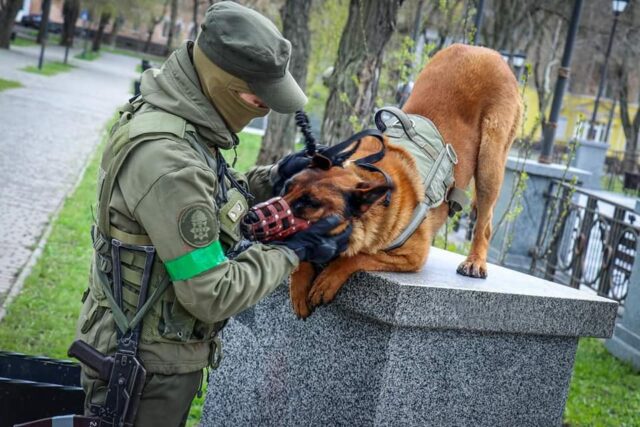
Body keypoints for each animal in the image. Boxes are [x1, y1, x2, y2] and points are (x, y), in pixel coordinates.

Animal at [282, 44, 524, 320]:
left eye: (311, 204)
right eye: (286, 188)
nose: (255, 218)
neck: (370, 171)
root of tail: (485, 50)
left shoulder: (411, 256)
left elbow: (359, 257)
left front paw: (328, 278)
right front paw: (299, 283)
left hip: (490, 161)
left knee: (485, 222)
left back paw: (475, 260)